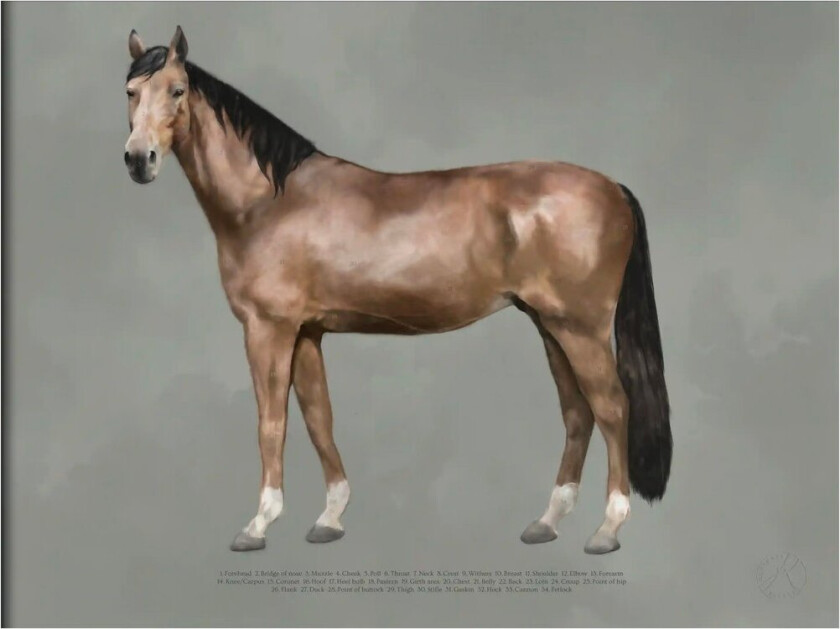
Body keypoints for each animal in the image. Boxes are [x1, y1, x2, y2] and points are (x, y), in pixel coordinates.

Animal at [123, 26, 672, 555]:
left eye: (177, 90)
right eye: (130, 91)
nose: (137, 160)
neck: (267, 203)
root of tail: (614, 188)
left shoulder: (268, 329)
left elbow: (271, 423)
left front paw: (258, 525)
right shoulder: (307, 332)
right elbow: (318, 418)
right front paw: (330, 519)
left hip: (580, 328)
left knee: (612, 408)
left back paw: (607, 528)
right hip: (549, 324)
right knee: (577, 413)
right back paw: (546, 523)